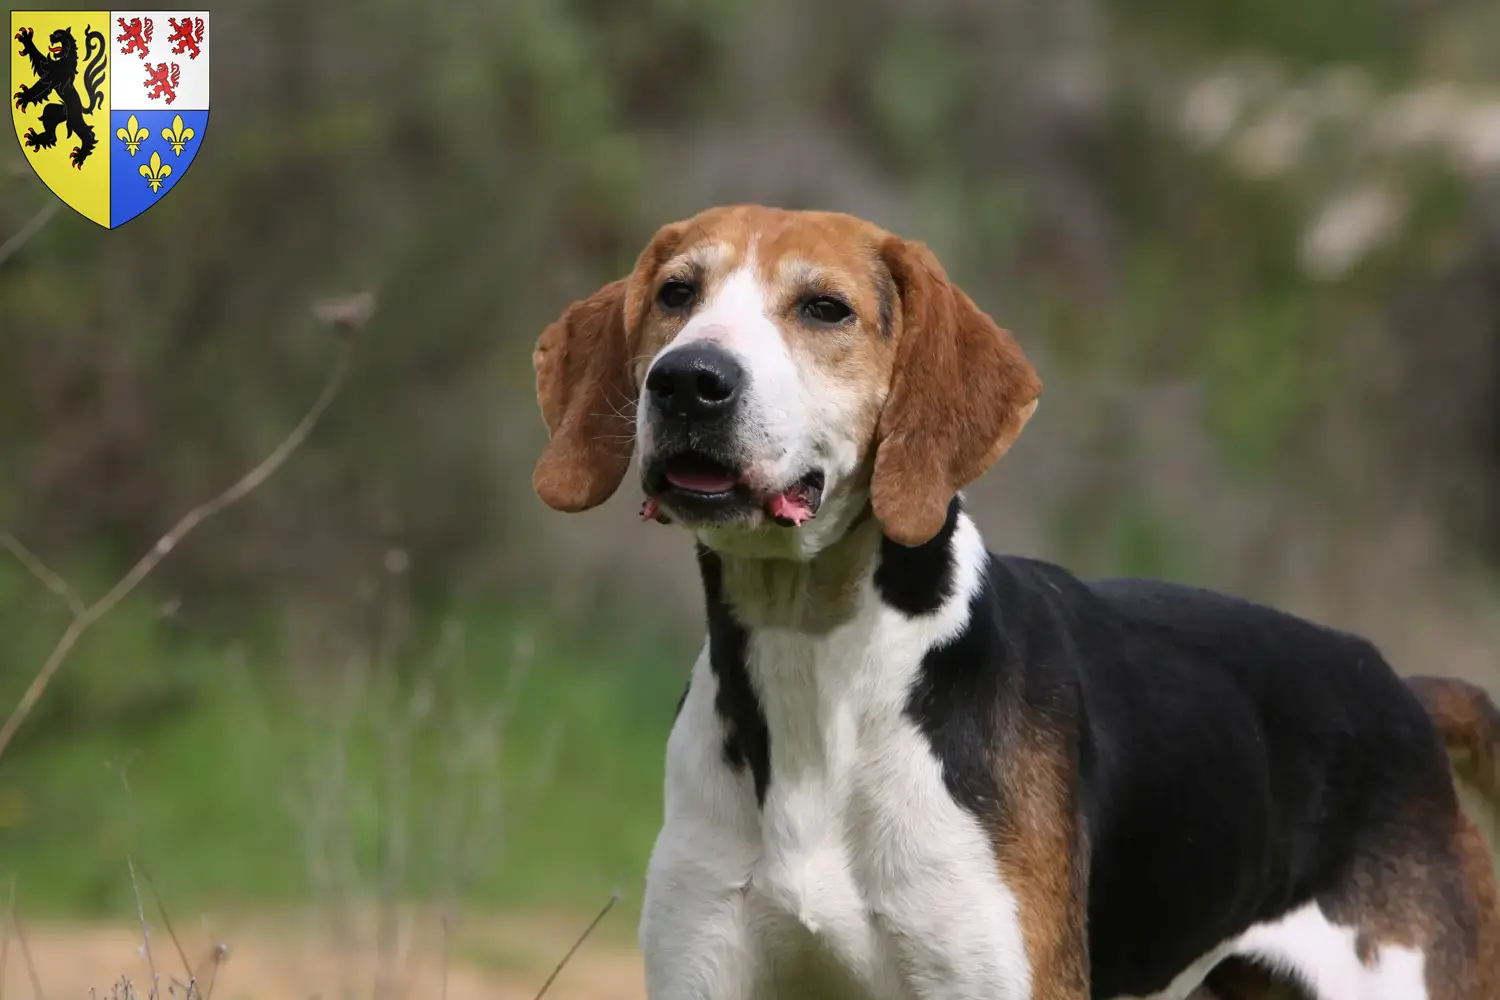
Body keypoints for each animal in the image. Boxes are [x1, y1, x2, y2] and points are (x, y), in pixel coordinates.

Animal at [14, 24, 107, 169]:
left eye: (58, 34)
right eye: (53, 33)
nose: (50, 36)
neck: (65, 59)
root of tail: (82, 108)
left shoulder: (52, 77)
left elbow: (38, 88)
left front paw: (24, 96)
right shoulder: (47, 69)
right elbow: (39, 58)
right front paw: (26, 39)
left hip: (74, 119)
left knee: (88, 134)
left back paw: (80, 156)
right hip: (54, 111)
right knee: (51, 132)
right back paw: (36, 139)